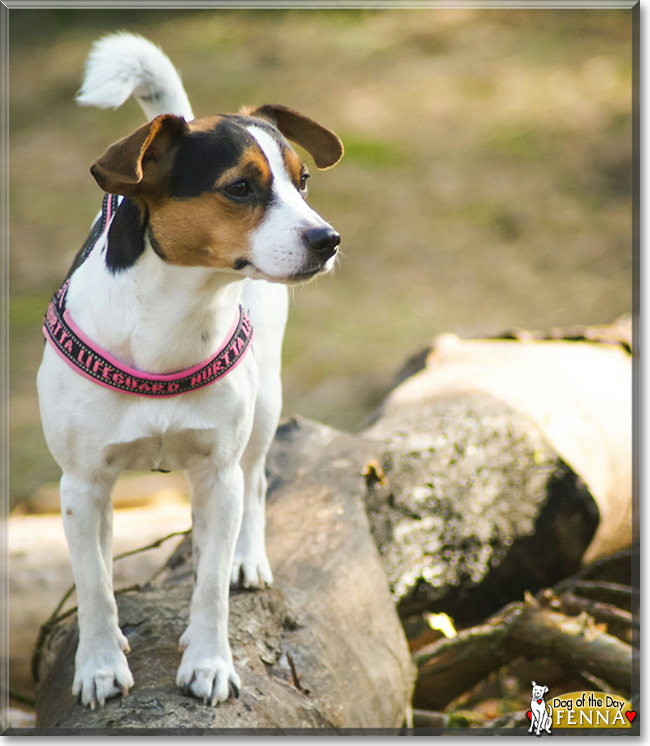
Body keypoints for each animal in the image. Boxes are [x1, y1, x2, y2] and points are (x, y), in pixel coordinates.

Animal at [37, 33, 342, 708]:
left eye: (304, 181)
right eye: (240, 188)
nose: (328, 239)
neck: (176, 321)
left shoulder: (217, 471)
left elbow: (209, 587)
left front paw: (209, 663)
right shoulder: (80, 483)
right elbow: (93, 583)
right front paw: (99, 664)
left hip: (264, 409)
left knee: (255, 486)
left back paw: (244, 558)